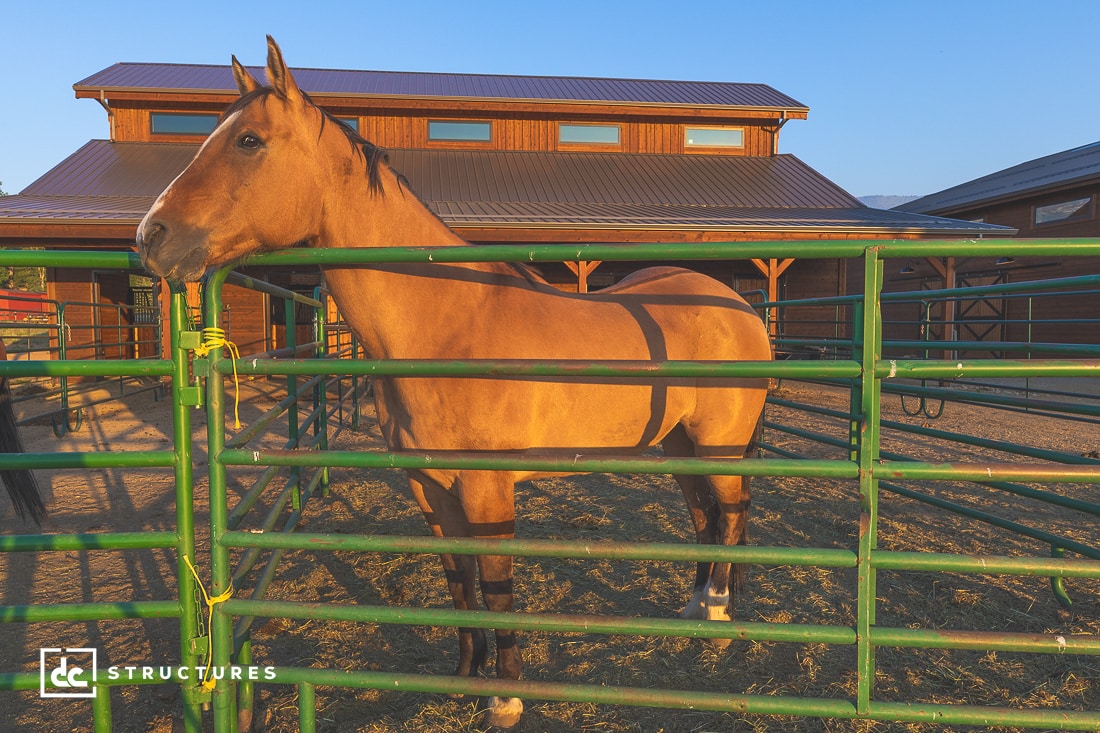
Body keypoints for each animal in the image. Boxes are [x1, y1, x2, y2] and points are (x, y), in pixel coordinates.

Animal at [137, 38, 774, 726]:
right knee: (703, 515)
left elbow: (496, 587)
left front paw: (507, 695)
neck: (446, 321)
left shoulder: (488, 489)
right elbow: (458, 582)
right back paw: (694, 606)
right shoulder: (430, 487)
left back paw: (718, 612)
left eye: (249, 140)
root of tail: (737, 306)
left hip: (719, 445)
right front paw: (466, 676)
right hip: (677, 445)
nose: (151, 237)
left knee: (731, 512)